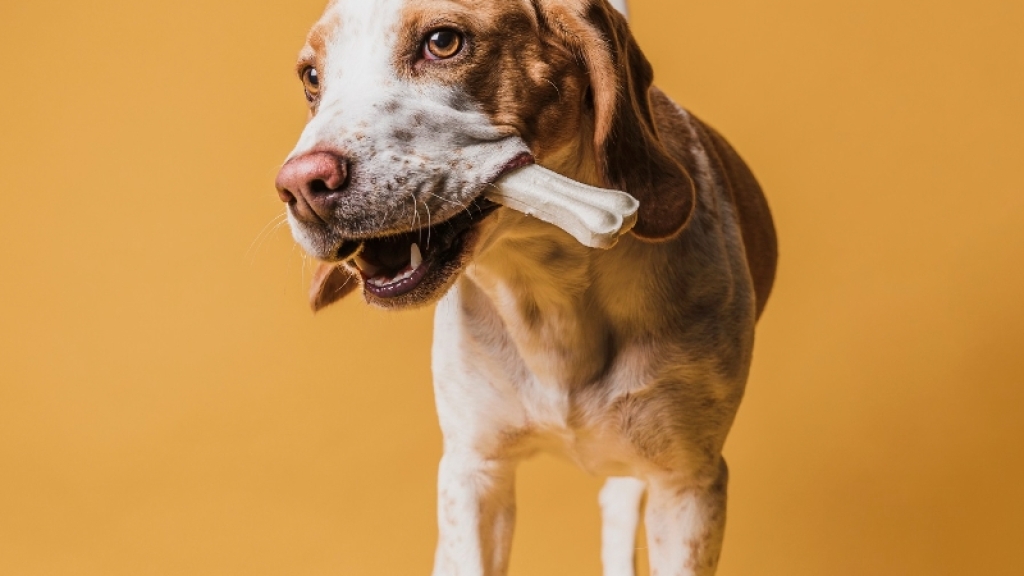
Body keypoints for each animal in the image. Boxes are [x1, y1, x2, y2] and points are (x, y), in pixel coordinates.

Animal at [272, 0, 774, 569]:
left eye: (443, 43)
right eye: (312, 78)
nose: (301, 186)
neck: (550, 288)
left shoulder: (688, 485)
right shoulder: (473, 474)